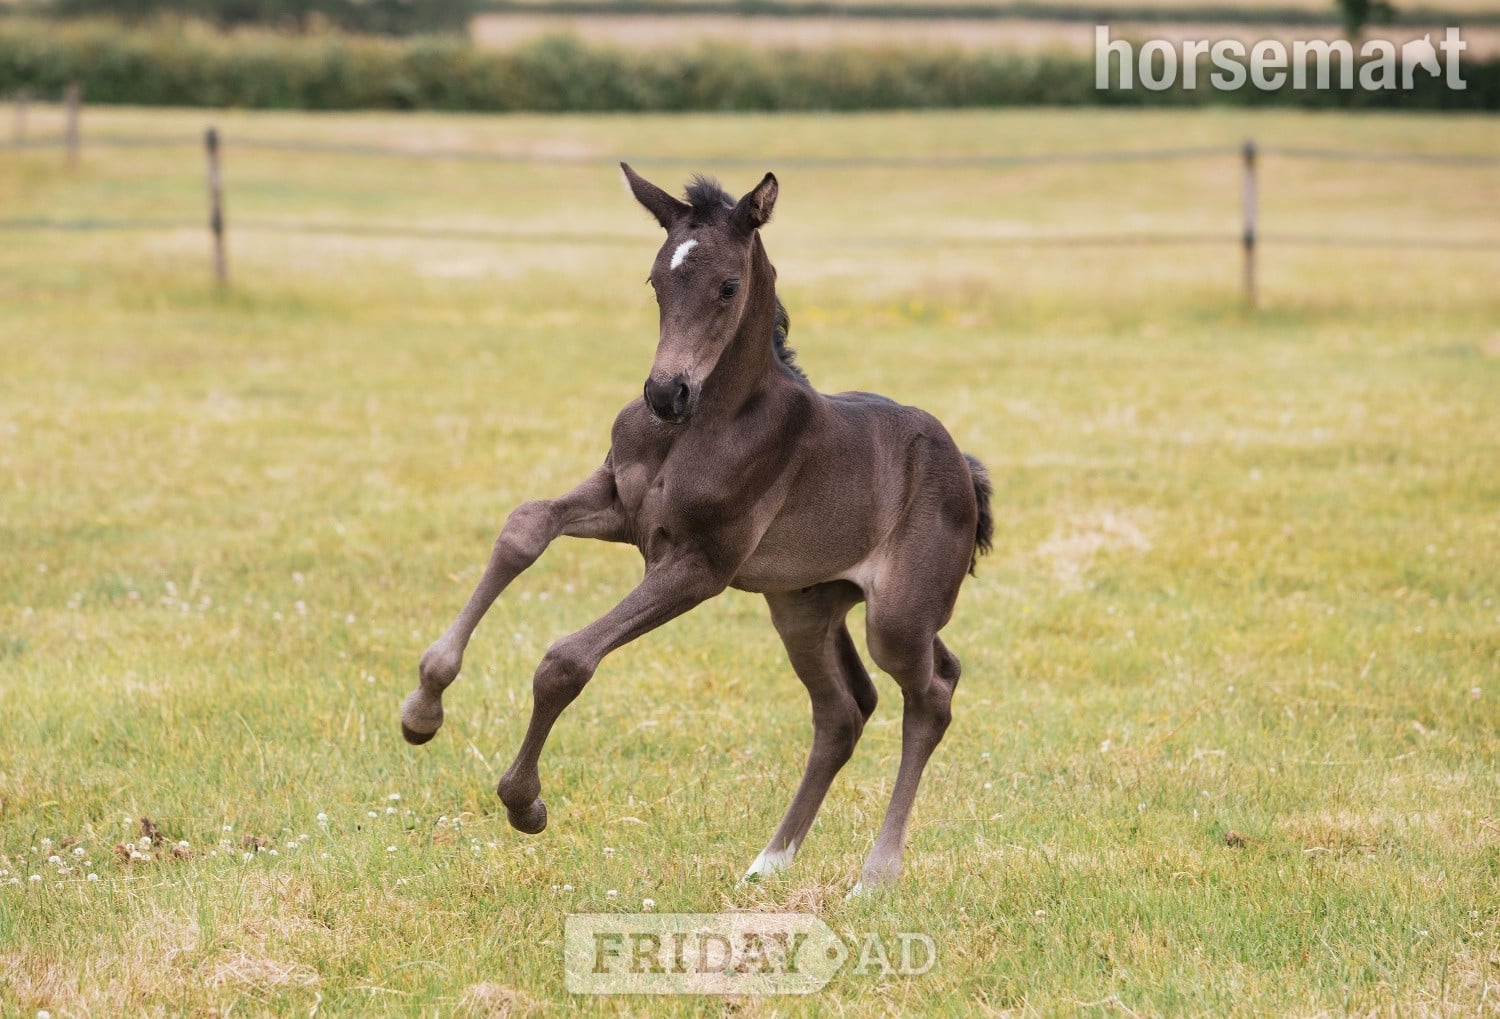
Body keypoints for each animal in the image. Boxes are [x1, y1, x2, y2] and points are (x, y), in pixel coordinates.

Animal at [402, 165, 993, 891]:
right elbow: (524, 527)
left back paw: (875, 874)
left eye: (728, 286)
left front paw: (525, 802)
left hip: (898, 617)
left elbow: (566, 660)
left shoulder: (698, 565)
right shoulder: (621, 506)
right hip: (803, 606)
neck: (702, 425)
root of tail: (965, 468)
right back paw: (769, 861)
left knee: (931, 693)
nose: (665, 393)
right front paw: (423, 708)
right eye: (657, 279)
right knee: (844, 710)